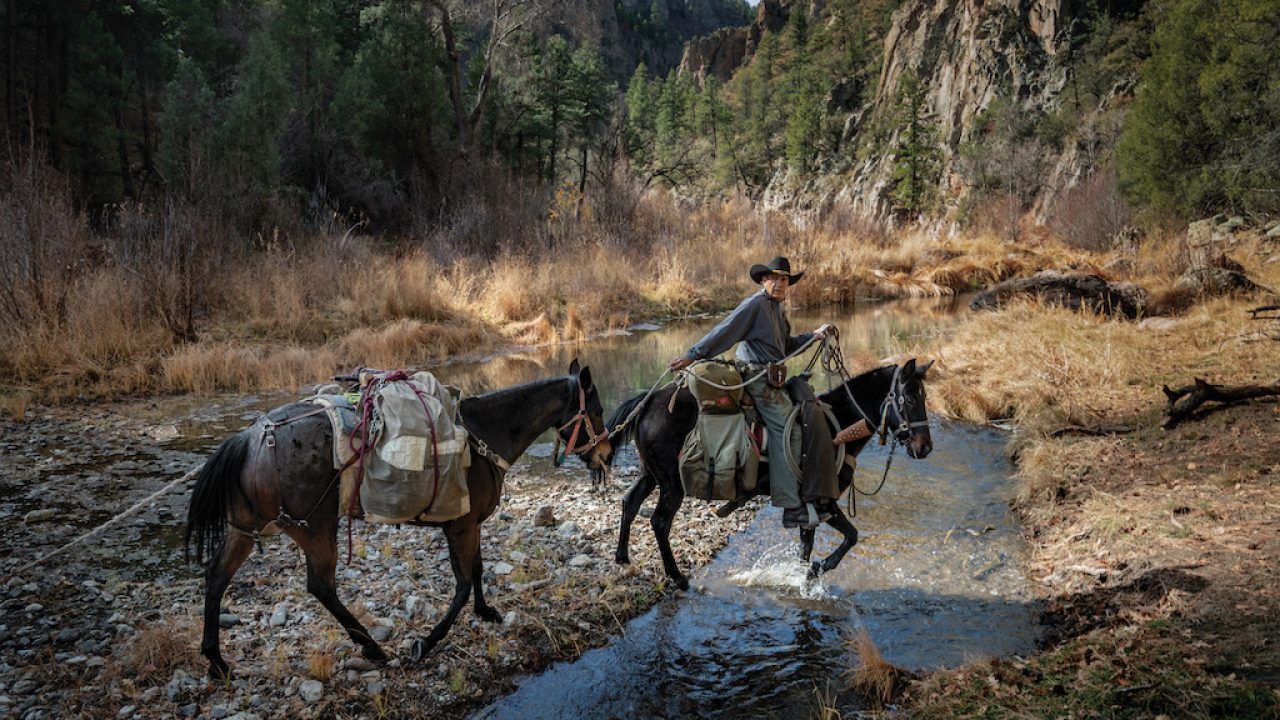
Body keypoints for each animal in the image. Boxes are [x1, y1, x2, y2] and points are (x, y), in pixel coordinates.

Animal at [604, 358, 936, 589]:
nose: (925, 448)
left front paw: (801, 576)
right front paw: (814, 572)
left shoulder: (808, 508)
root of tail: (648, 402)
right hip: (672, 484)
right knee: (660, 522)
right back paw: (678, 577)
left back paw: (622, 557)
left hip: (651, 474)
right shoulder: (824, 501)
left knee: (629, 502)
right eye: (909, 398)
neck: (838, 426)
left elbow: (806, 546)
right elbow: (851, 537)